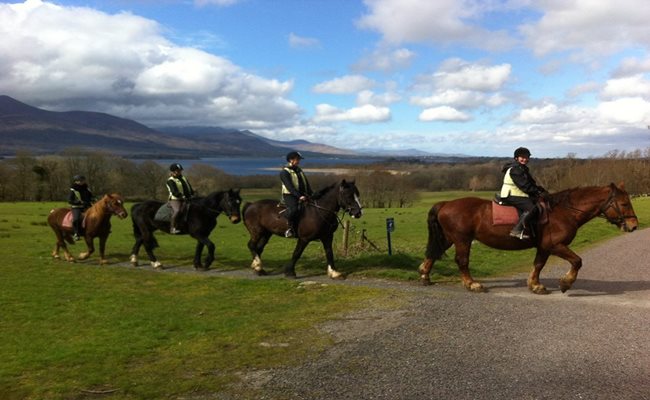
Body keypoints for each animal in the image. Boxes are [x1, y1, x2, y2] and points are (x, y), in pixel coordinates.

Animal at [418, 182, 636, 294]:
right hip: (462, 239)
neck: (564, 211)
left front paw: (535, 285)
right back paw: (472, 284)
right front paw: (565, 283)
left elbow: (538, 265)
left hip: (449, 238)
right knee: (462, 261)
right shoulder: (555, 245)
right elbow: (577, 261)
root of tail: (446, 204)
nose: (634, 226)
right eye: (625, 203)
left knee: (434, 253)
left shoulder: (544, 247)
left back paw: (425, 275)